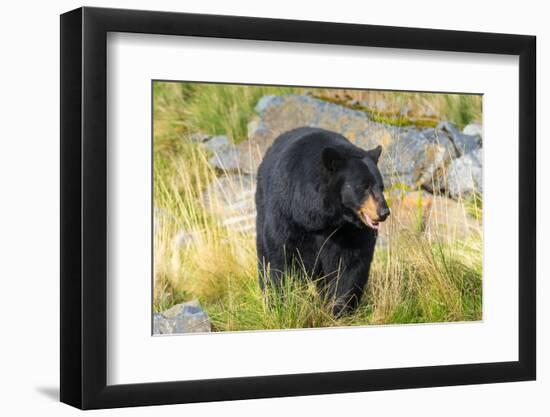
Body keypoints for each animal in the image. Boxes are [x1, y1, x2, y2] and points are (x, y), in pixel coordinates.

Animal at [256, 127, 390, 316]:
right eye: (364, 186)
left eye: (381, 186)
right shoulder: (288, 215)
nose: (384, 212)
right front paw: (282, 304)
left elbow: (350, 263)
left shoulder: (348, 231)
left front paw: (339, 309)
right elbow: (280, 256)